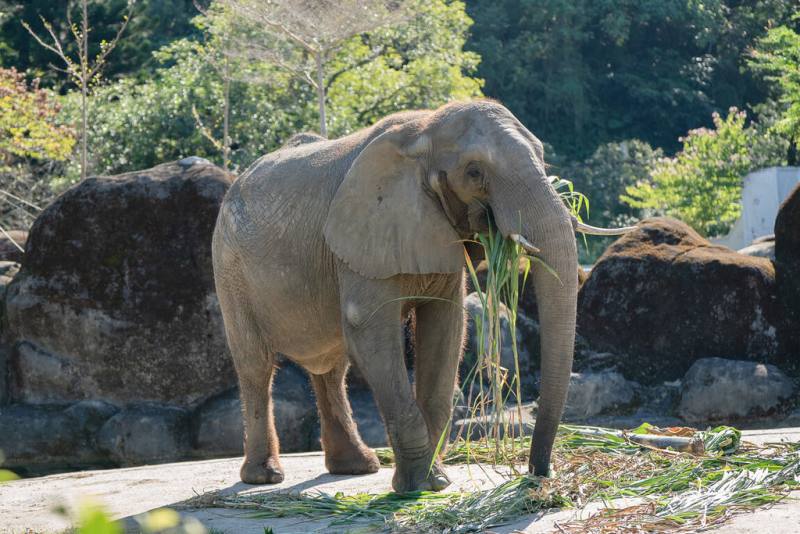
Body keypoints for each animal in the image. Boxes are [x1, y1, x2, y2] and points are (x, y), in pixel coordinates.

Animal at [212, 100, 631, 492]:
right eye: (474, 172)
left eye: (543, 158)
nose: (537, 474)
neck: (424, 129)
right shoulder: (365, 235)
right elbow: (370, 331)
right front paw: (417, 486)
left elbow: (446, 328)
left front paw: (436, 480)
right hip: (229, 267)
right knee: (256, 364)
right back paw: (265, 476)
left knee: (331, 367)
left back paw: (357, 467)